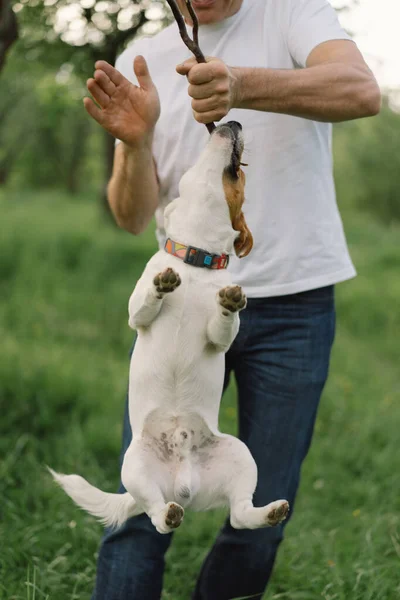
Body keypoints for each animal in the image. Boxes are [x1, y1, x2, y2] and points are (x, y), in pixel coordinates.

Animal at [50, 122, 288, 536]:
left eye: (241, 176)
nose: (235, 122)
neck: (196, 260)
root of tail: (184, 484)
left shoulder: (218, 340)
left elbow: (222, 326)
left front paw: (230, 301)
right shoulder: (136, 315)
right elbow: (146, 302)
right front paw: (162, 284)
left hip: (241, 455)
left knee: (239, 514)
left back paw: (269, 512)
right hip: (135, 469)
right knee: (156, 515)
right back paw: (168, 513)